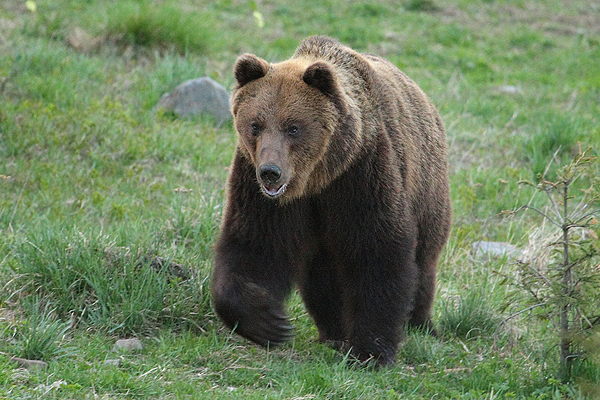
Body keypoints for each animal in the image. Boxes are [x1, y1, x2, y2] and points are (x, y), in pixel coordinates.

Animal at [212, 35, 450, 366]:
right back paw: (333, 332)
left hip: (428, 190)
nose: (270, 172)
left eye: (293, 127)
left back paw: (420, 324)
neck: (316, 180)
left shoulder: (361, 175)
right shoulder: (261, 190)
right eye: (255, 125)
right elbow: (254, 244)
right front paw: (269, 322)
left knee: (424, 261)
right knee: (322, 277)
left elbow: (378, 252)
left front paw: (371, 350)